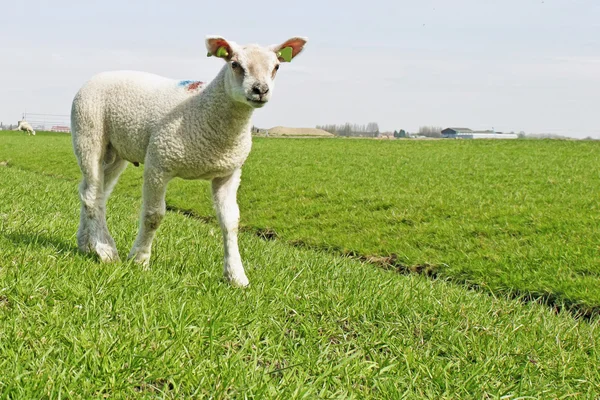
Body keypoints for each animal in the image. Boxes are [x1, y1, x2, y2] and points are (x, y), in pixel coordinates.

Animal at [69, 32, 310, 286]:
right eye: (235, 64)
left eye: (276, 67)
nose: (260, 89)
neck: (204, 108)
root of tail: (98, 76)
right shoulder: (158, 162)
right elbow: (154, 216)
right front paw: (139, 260)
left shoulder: (228, 173)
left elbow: (230, 222)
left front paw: (236, 275)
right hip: (88, 133)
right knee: (92, 193)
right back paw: (106, 250)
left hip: (116, 152)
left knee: (95, 193)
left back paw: (87, 244)